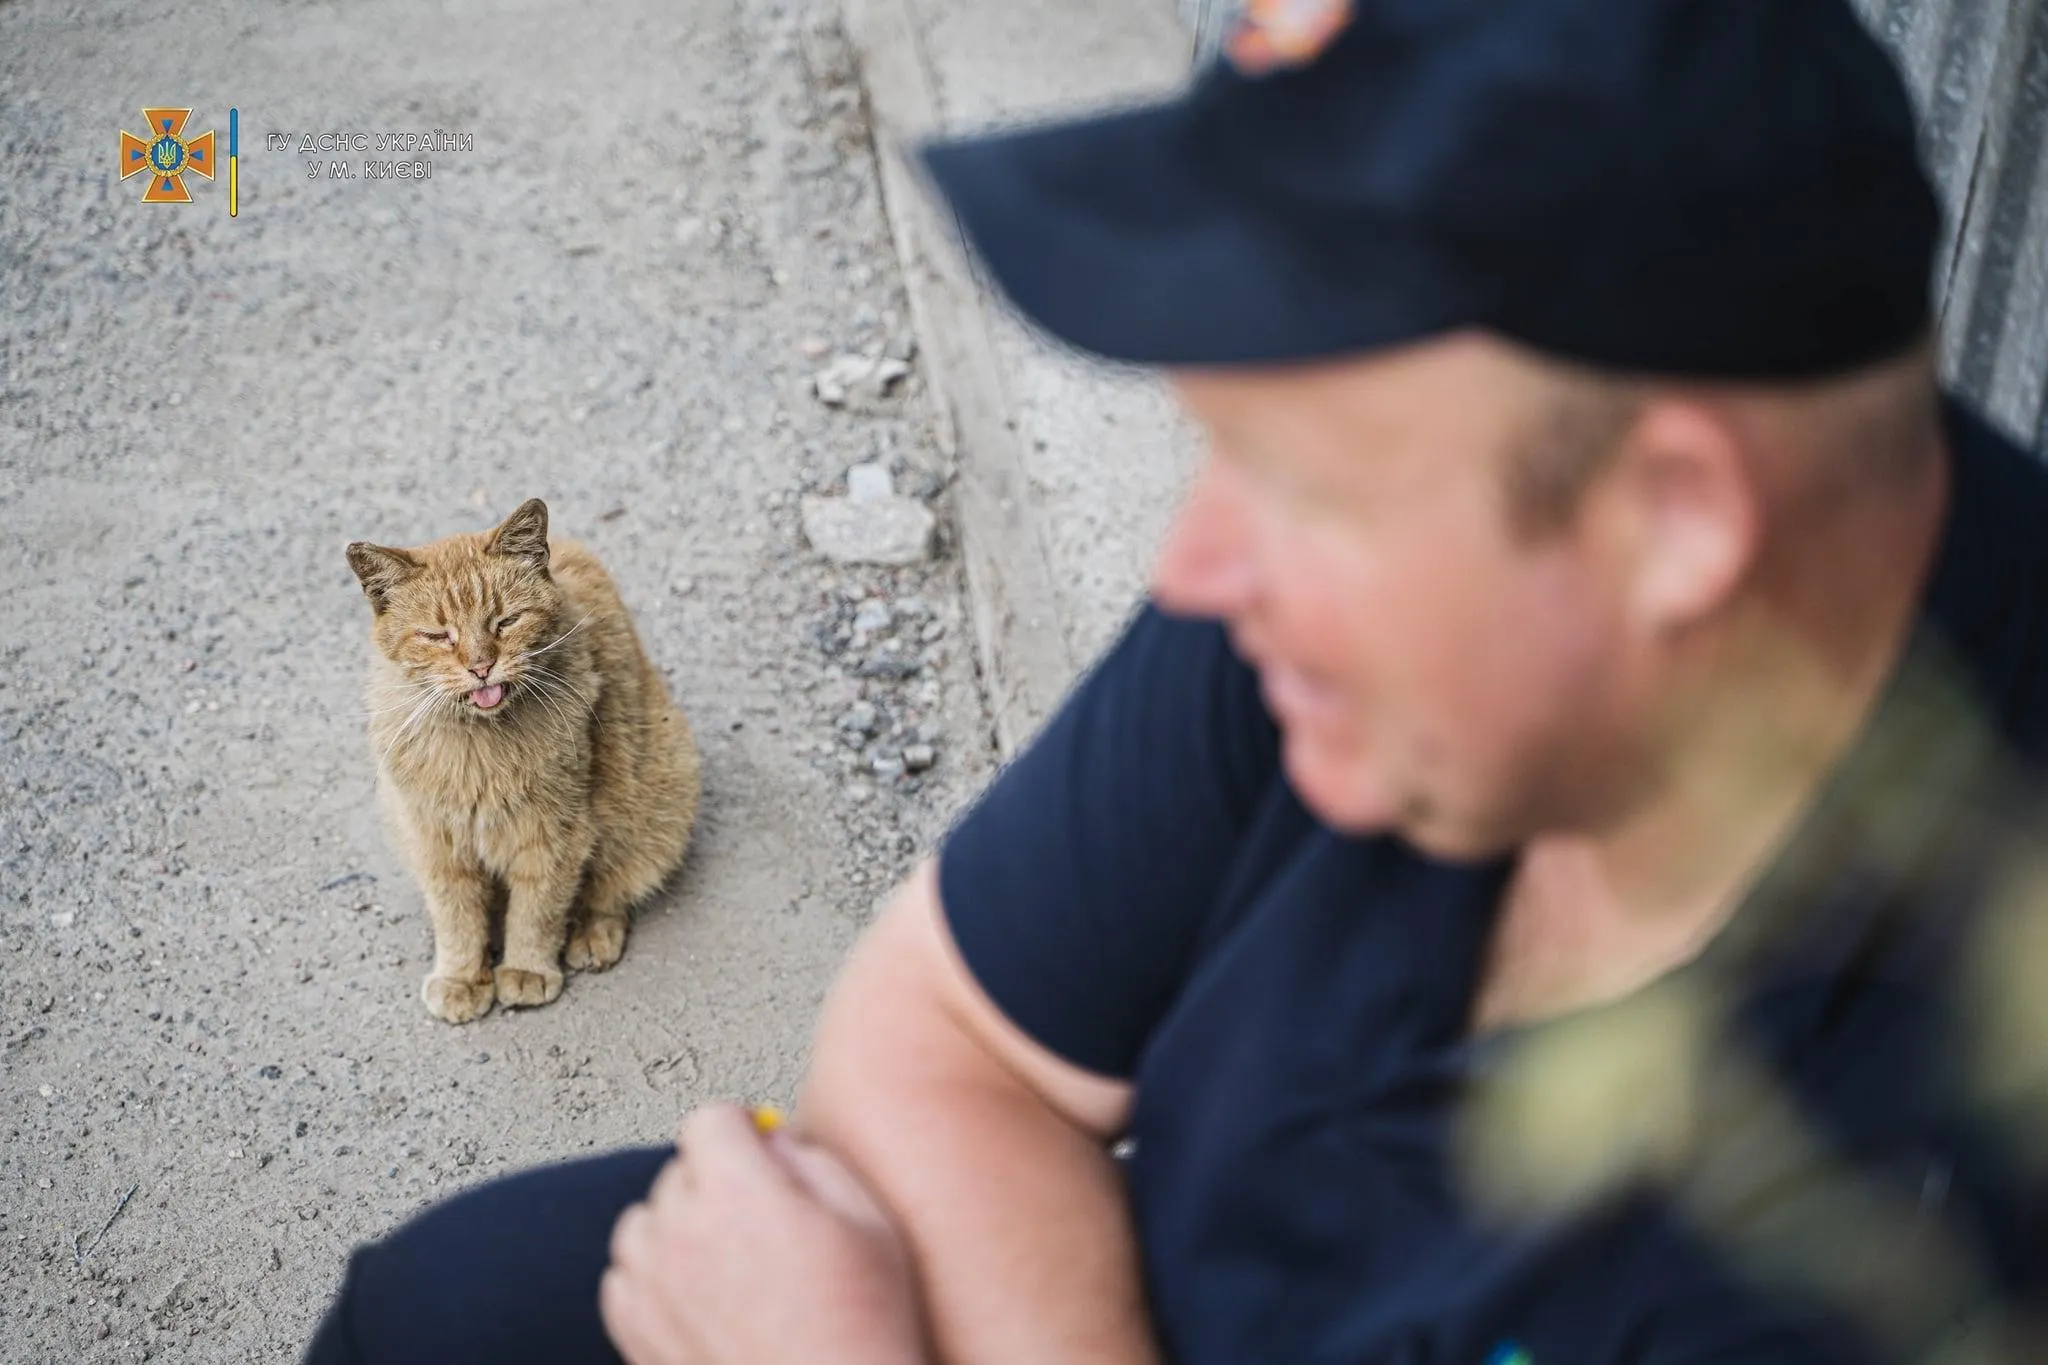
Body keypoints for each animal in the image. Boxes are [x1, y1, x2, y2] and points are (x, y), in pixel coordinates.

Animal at [344, 497, 704, 1019]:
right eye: (438, 635)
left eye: (506, 622)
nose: (481, 666)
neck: (477, 747)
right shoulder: (435, 843)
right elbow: (457, 918)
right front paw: (462, 977)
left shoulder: (553, 836)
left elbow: (538, 911)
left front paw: (527, 969)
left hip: (658, 793)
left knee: (612, 888)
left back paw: (592, 935)